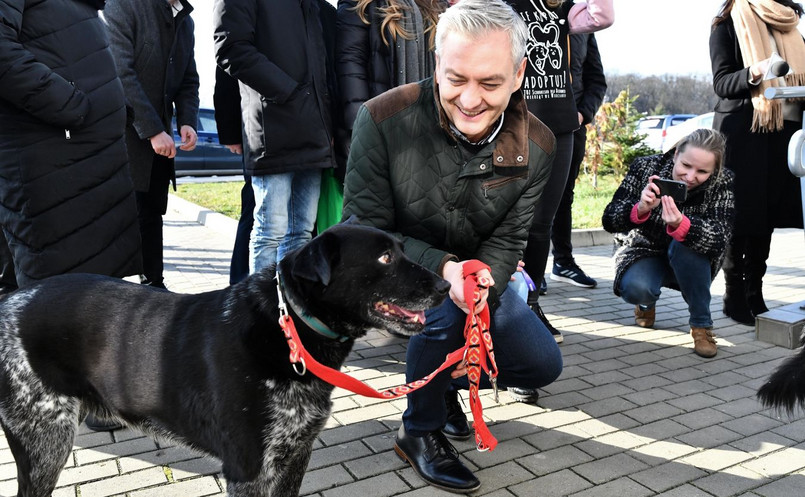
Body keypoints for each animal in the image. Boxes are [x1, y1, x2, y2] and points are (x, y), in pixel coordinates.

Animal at [0, 222, 450, 496]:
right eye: (385, 258)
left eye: (401, 249)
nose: (446, 285)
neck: (289, 331)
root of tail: (9, 302)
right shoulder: (248, 469)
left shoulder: (294, 456)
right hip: (45, 443)